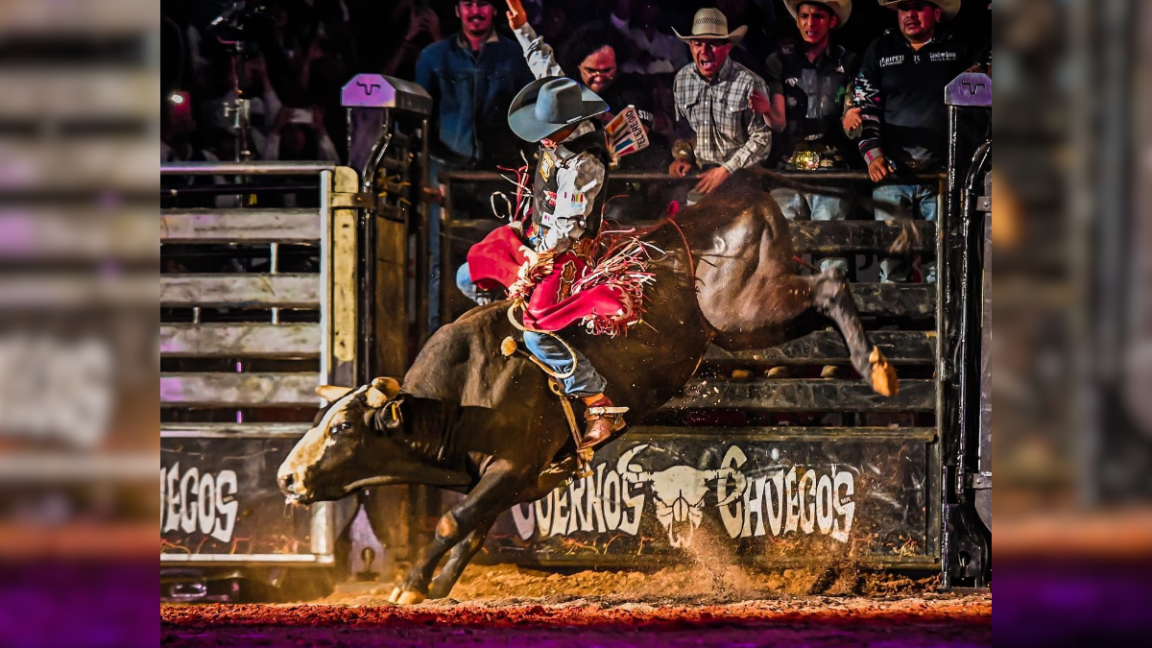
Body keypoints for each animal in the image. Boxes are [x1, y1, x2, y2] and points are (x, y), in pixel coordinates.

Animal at [276, 170, 898, 599]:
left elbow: (454, 518)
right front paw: (438, 585)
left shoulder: (511, 466)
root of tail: (744, 195)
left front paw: (410, 583)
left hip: (746, 310)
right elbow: (471, 528)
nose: (287, 476)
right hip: (757, 319)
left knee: (831, 285)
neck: (462, 395)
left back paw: (875, 368)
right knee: (823, 294)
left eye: (341, 428)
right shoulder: (520, 480)